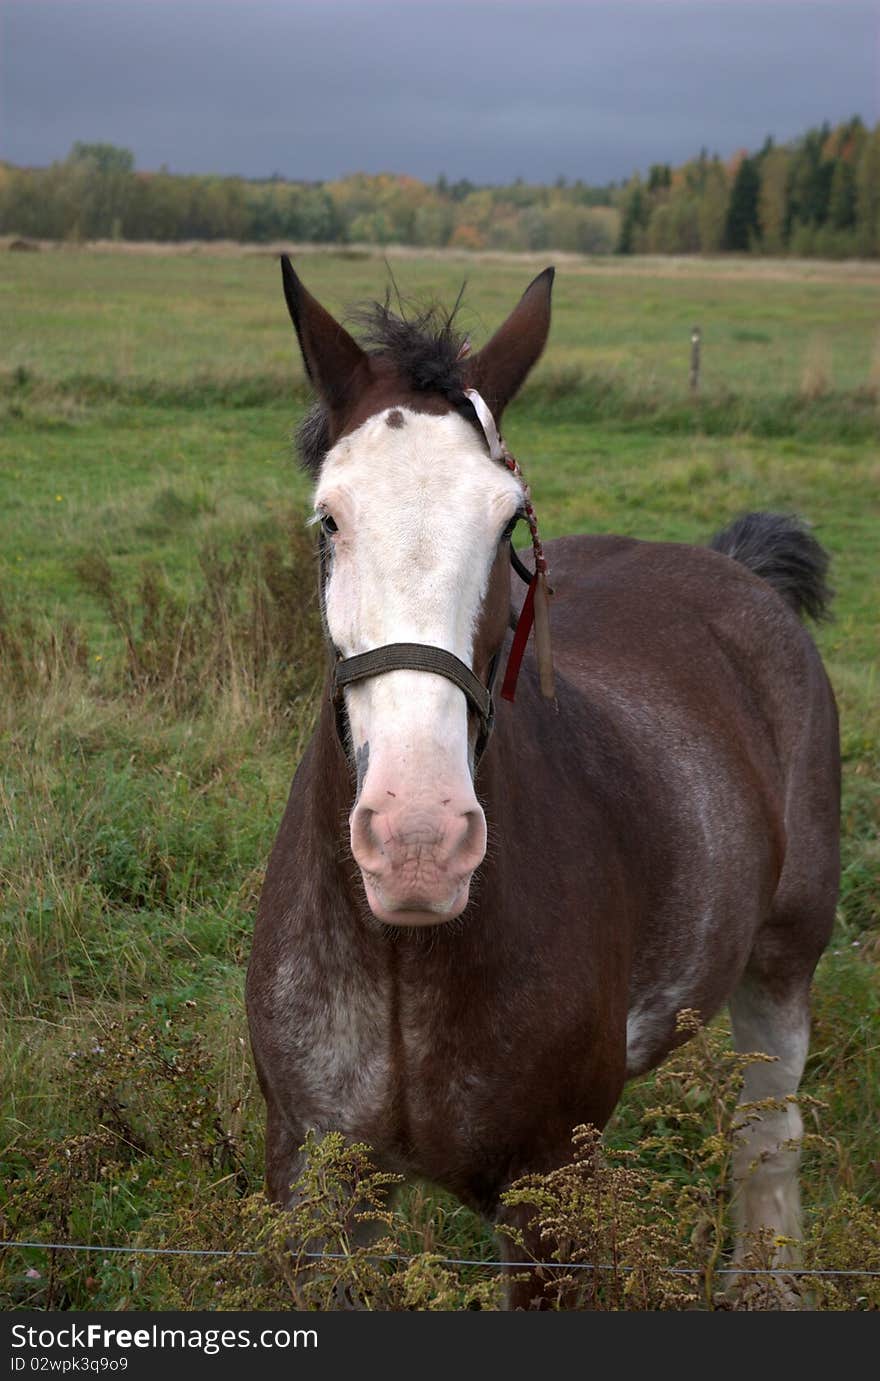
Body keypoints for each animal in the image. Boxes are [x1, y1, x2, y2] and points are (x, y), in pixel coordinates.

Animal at [245, 263, 839, 1309]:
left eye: (506, 523)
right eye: (330, 518)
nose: (419, 843)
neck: (402, 958)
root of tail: (739, 573)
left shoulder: (548, 1209)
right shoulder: (318, 1188)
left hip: (783, 963)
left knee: (768, 1138)